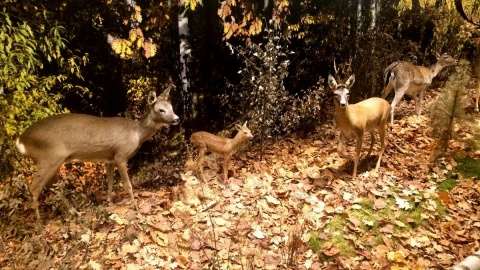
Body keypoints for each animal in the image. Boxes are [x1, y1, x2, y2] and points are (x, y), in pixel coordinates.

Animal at [16, 88, 180, 219]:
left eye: (172, 107)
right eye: (161, 110)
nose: (177, 119)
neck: (137, 133)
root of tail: (20, 140)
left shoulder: (110, 158)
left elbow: (110, 182)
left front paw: (110, 202)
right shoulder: (121, 155)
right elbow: (128, 184)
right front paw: (135, 206)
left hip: (53, 161)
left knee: (53, 186)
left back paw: (74, 212)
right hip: (49, 157)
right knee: (34, 189)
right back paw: (39, 226)